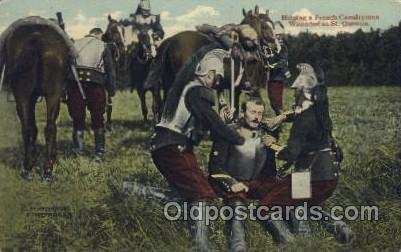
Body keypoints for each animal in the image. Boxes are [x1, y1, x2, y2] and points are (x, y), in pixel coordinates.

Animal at [0, 15, 76, 180]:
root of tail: (36, 38)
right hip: (53, 94)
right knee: (50, 127)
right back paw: (47, 168)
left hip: (23, 96)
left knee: (29, 128)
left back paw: (29, 167)